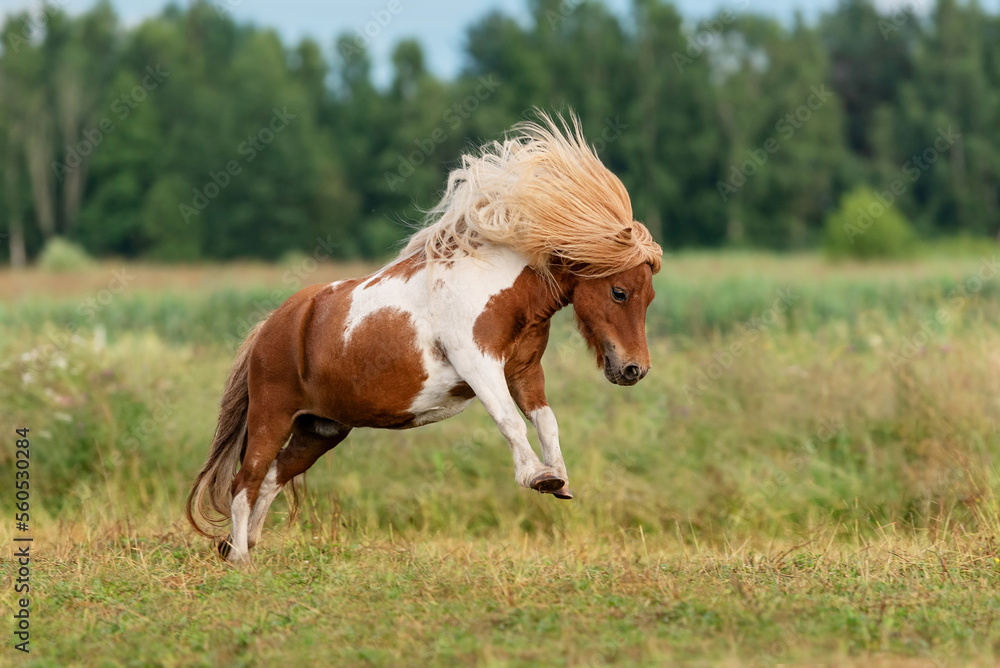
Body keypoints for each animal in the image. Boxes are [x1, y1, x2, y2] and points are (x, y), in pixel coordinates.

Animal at [186, 113, 664, 564]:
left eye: (650, 296)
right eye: (619, 292)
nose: (634, 369)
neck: (495, 288)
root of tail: (272, 326)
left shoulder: (524, 371)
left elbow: (546, 421)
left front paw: (559, 478)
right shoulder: (479, 364)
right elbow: (510, 420)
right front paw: (539, 477)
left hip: (320, 429)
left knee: (271, 478)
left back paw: (245, 545)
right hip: (272, 415)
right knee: (244, 481)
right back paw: (241, 557)